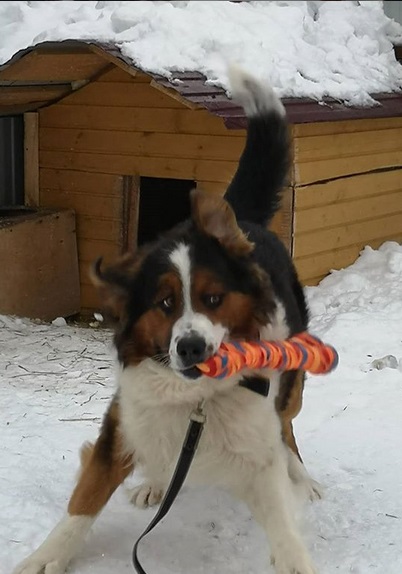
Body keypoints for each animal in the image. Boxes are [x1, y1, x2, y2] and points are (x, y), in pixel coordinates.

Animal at [13, 68, 320, 574]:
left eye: (213, 298)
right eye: (164, 304)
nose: (190, 347)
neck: (194, 400)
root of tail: (244, 222)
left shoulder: (258, 451)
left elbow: (282, 519)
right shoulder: (122, 426)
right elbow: (81, 506)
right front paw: (45, 558)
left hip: (292, 381)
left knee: (288, 425)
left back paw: (303, 475)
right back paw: (156, 482)